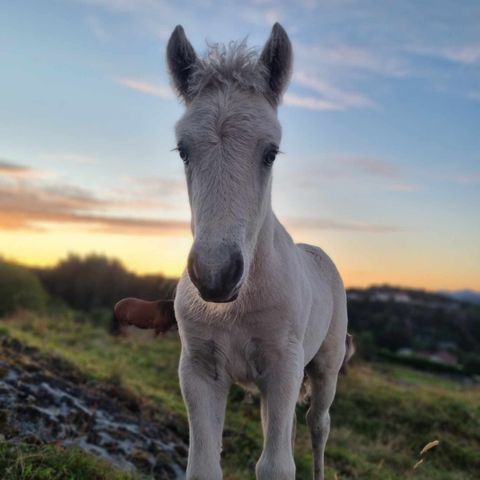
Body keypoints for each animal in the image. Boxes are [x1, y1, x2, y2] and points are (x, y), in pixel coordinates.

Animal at [165, 23, 348, 480]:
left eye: (271, 153)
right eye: (183, 150)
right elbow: (203, 466)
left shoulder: (284, 367)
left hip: (326, 365)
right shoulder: (199, 370)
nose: (215, 275)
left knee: (318, 425)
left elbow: (277, 466)